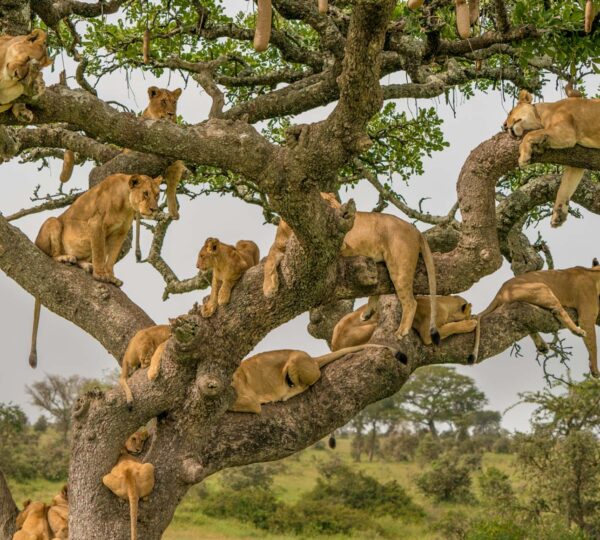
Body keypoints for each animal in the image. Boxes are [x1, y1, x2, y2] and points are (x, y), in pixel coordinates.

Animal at [28, 173, 162, 368]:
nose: (154, 209)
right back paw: (65, 258)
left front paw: (111, 277)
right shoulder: (96, 224)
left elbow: (111, 257)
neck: (126, 204)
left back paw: (85, 264)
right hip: (53, 223)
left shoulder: (120, 231)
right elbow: (99, 252)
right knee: (52, 253)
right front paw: (100, 275)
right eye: (145, 193)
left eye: (158, 195)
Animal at [264, 195, 440, 342]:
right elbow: (268, 261)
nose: (344, 214)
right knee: (380, 286)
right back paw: (368, 313)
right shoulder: (278, 246)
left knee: (410, 302)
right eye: (327, 204)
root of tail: (415, 229)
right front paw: (269, 288)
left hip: (399, 266)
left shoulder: (339, 245)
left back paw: (401, 331)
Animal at [330, 296, 476, 350]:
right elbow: (451, 327)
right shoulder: (427, 333)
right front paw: (470, 323)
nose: (471, 316)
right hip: (372, 327)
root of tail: (334, 345)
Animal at [504, 88, 600, 226]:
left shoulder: (566, 132)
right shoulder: (578, 162)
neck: (541, 115)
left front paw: (524, 157)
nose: (504, 126)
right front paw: (558, 214)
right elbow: (565, 186)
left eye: (511, 112)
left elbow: (529, 135)